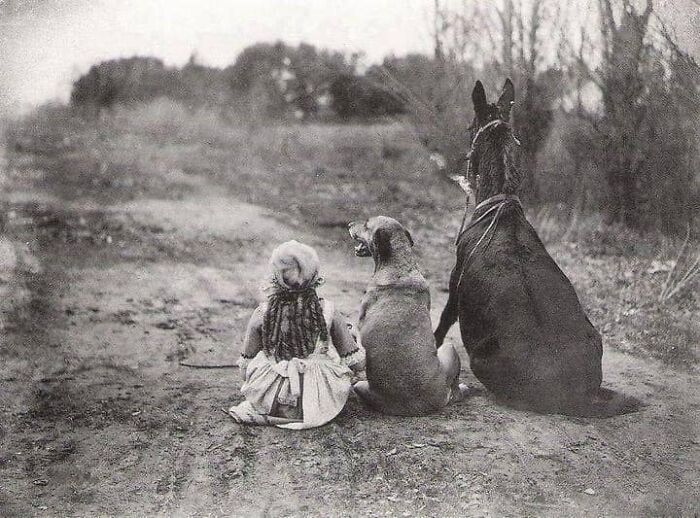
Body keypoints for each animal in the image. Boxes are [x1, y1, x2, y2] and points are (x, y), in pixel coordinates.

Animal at [434, 79, 636, 416]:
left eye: (469, 127)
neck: (501, 201)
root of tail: (573, 394)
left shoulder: (453, 291)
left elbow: (439, 327)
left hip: (480, 360)